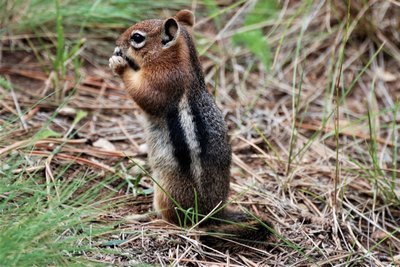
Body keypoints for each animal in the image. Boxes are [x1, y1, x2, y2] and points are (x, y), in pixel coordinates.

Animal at [108, 9, 272, 252]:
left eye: (137, 38)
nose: (117, 44)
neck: (178, 59)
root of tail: (213, 214)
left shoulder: (163, 81)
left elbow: (143, 93)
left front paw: (119, 64)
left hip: (166, 190)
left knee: (177, 220)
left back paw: (152, 220)